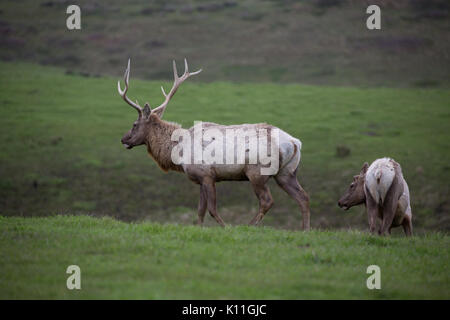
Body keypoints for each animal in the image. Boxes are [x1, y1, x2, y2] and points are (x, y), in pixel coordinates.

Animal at [118, 59, 312, 230]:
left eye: (134, 124)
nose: (123, 139)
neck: (179, 152)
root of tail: (295, 142)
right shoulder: (201, 179)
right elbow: (200, 210)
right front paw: (200, 228)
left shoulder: (207, 175)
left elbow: (211, 209)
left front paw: (226, 228)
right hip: (287, 173)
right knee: (303, 197)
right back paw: (305, 230)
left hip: (257, 172)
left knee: (267, 201)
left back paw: (249, 226)